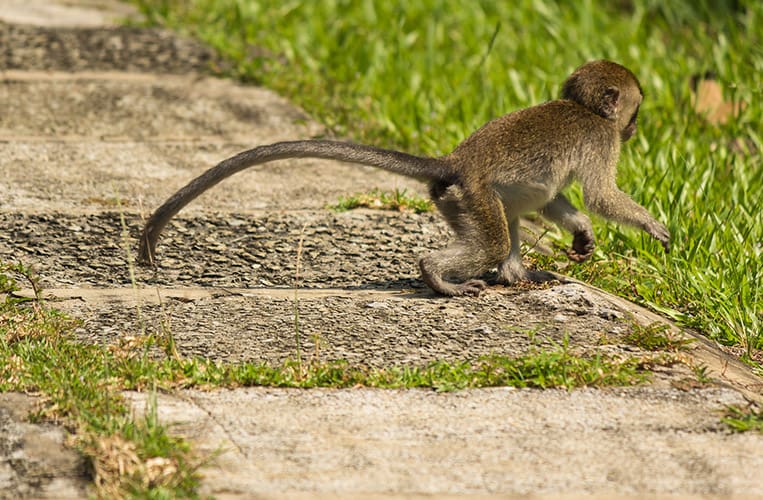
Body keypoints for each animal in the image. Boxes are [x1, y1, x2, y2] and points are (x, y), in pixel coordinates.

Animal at [139, 60, 670, 297]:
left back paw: (515, 276)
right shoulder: (602, 138)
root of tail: (453, 163)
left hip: (458, 200)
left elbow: (554, 199)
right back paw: (438, 276)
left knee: (510, 216)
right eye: (636, 109)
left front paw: (582, 232)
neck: (590, 112)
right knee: (494, 237)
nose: (636, 127)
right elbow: (600, 194)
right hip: (471, 195)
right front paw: (651, 226)